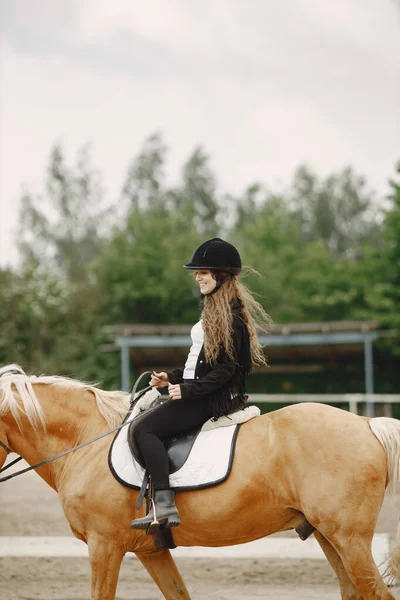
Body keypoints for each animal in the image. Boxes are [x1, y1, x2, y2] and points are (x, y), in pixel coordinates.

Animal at [0, 360, 400, 600]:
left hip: (350, 541)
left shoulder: (104, 546)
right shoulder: (151, 550)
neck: (85, 442)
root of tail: (367, 423)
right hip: (327, 536)